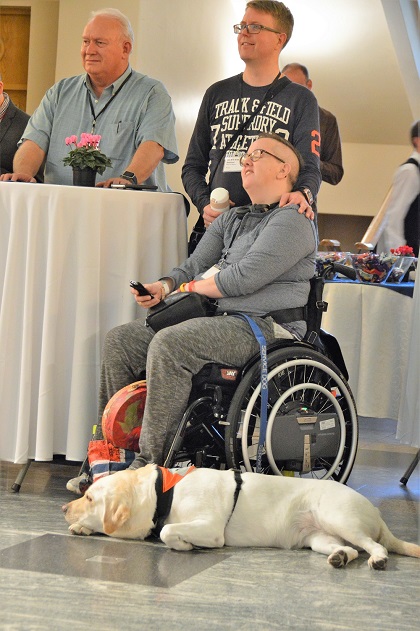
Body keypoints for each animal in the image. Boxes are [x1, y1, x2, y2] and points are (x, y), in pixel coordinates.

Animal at [62, 464, 420, 572]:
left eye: (90, 498)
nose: (64, 510)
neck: (165, 492)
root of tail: (376, 512)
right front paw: (80, 526)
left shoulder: (210, 528)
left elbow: (167, 533)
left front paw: (185, 545)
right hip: (319, 538)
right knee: (349, 550)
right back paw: (340, 558)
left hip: (338, 518)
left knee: (374, 546)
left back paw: (378, 560)